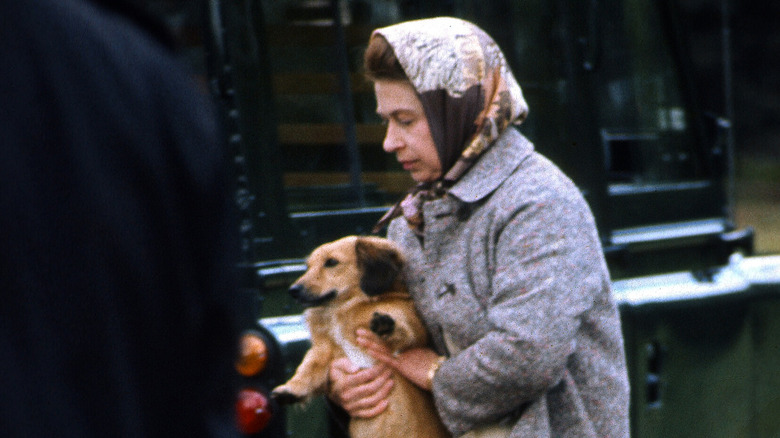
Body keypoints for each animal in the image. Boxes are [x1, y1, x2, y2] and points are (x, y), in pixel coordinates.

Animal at [272, 236, 448, 438]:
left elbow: (404, 327)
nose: (293, 290)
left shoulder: (412, 329)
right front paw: (291, 389)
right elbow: (308, 366)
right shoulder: (323, 350)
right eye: (308, 266)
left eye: (331, 262)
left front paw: (386, 324)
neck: (344, 309)